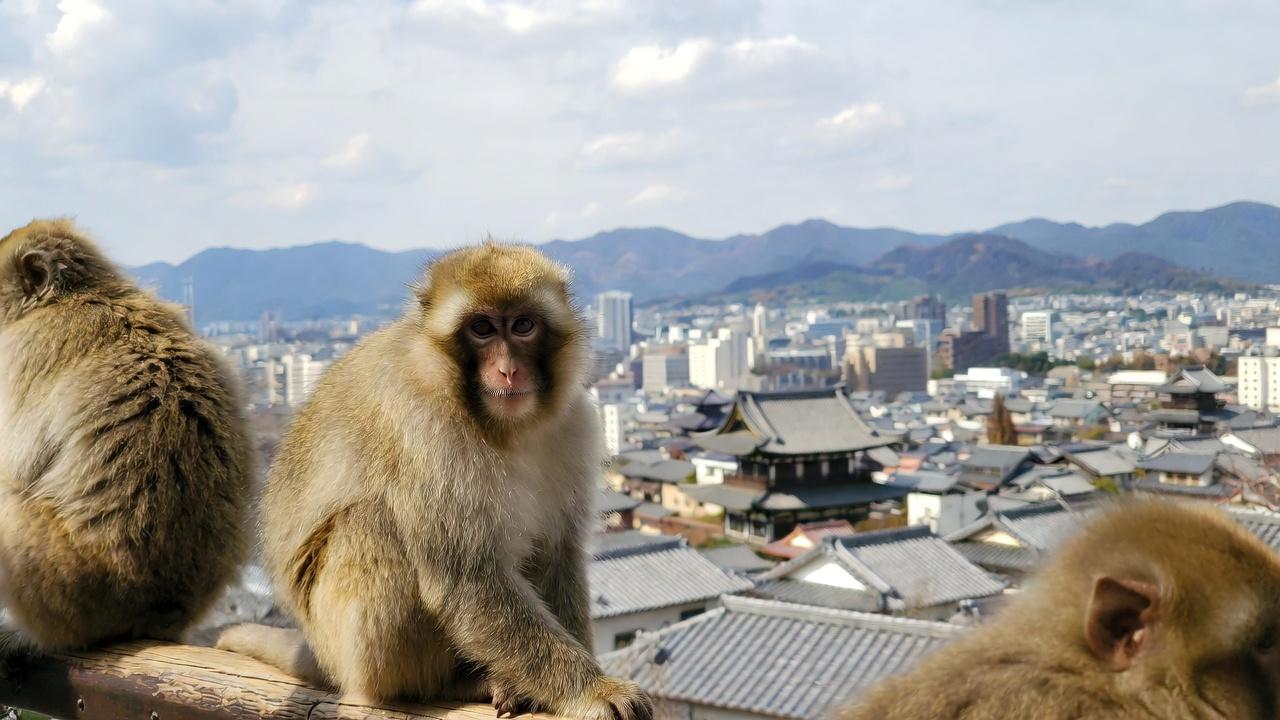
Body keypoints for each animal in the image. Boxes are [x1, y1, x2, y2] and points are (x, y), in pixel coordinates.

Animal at [0, 219, 252, 666]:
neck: (80, 293)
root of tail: (162, 611)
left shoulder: (26, 348)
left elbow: (16, 461)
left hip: (70, 584)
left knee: (7, 505)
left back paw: (35, 637)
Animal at [216, 241, 653, 720]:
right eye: (481, 328)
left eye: (523, 326)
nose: (507, 371)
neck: (504, 429)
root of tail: (323, 656)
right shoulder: (426, 430)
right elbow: (466, 578)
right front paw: (592, 690)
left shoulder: (574, 425)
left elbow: (556, 554)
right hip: (347, 644)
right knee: (373, 522)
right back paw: (451, 684)